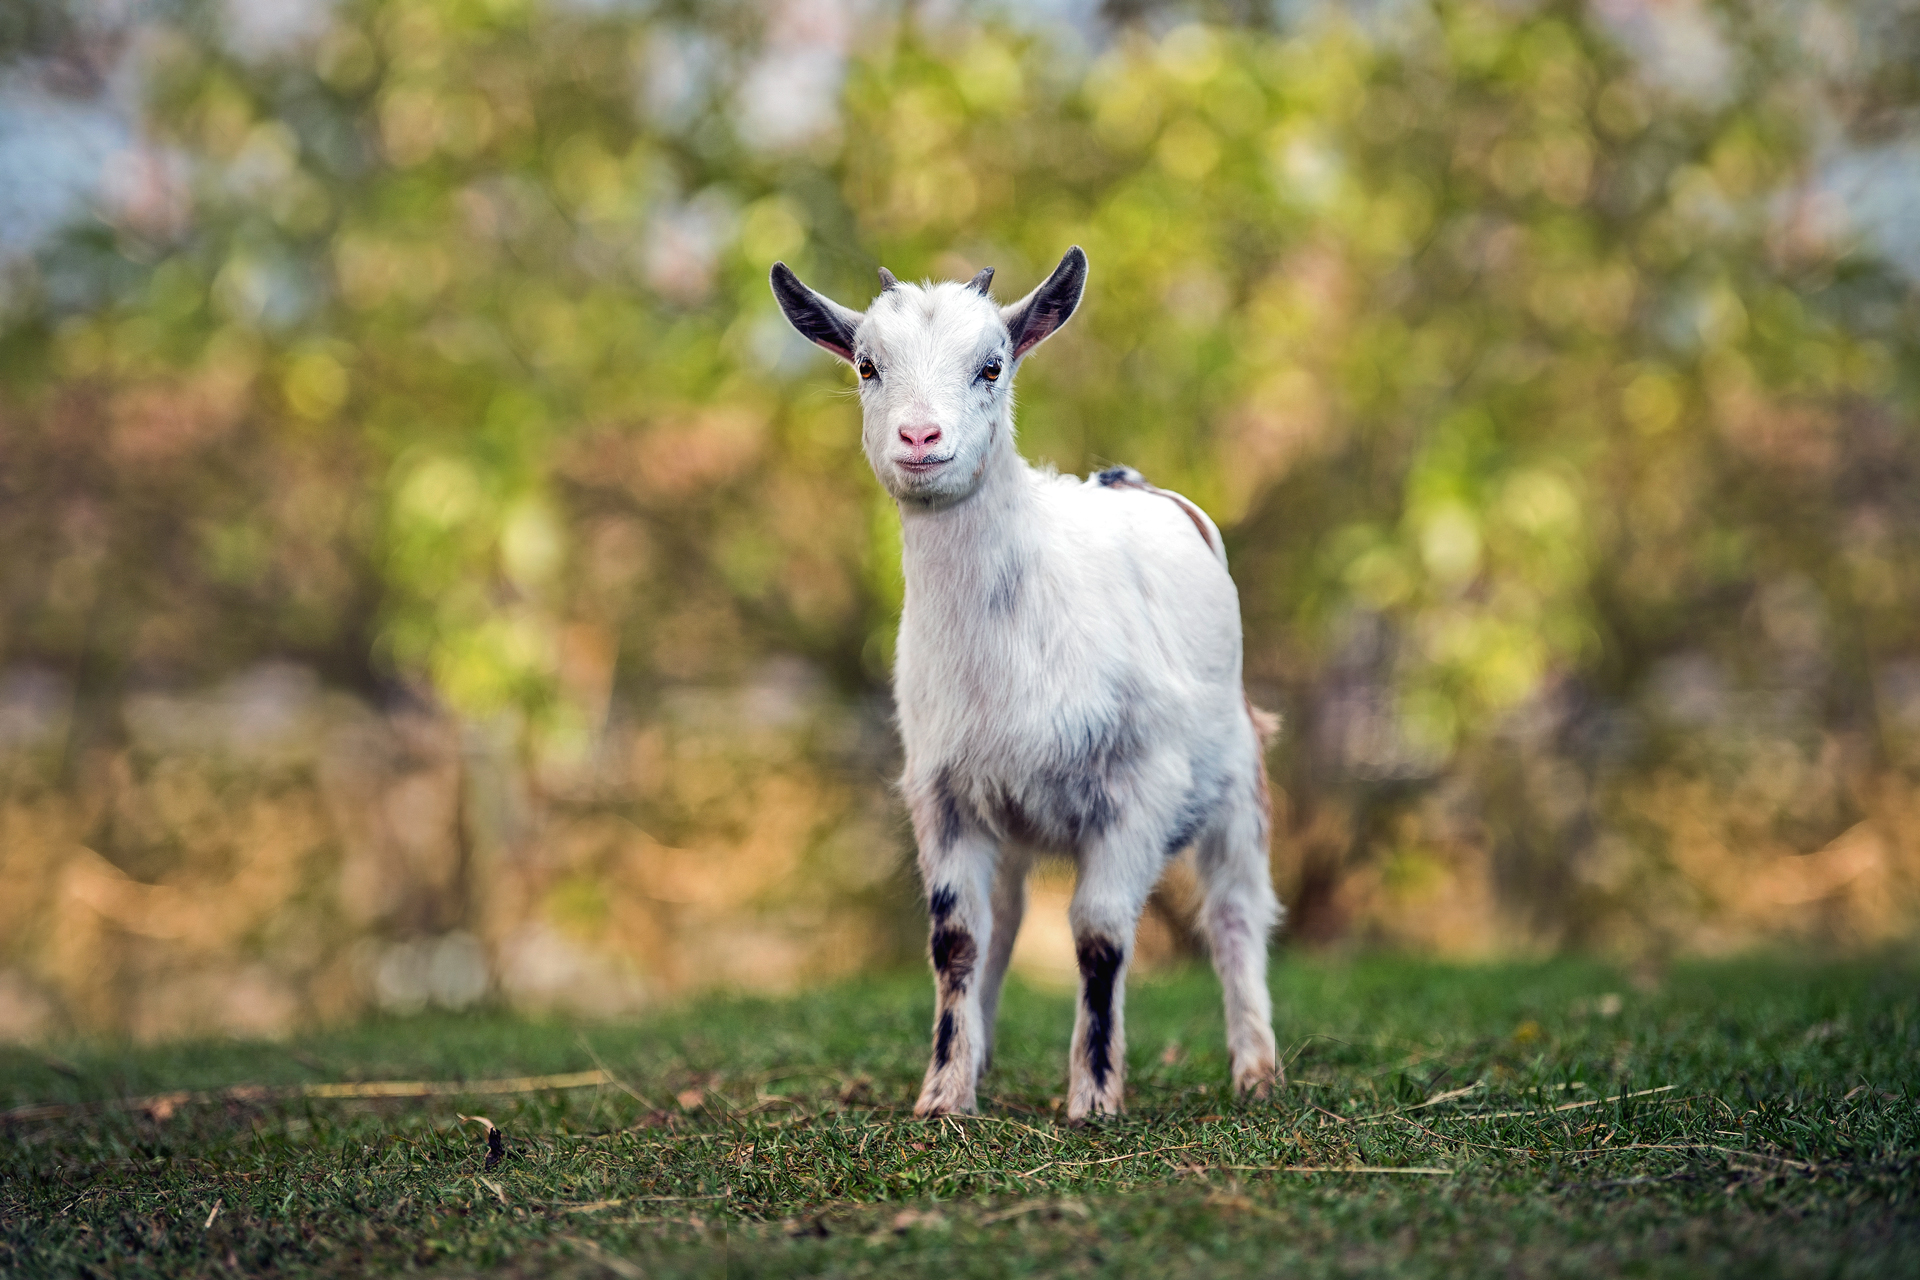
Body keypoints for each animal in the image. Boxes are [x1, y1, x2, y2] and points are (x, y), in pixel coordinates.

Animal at [770, 247, 1282, 1121]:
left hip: (1235, 771)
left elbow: (1101, 935)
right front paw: (943, 1096)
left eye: (992, 365)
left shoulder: (1140, 785)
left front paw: (1095, 1098)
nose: (919, 436)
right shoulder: (942, 792)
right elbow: (957, 940)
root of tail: (1127, 479)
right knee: (1004, 923)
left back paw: (1257, 1068)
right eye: (868, 365)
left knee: (1236, 908)